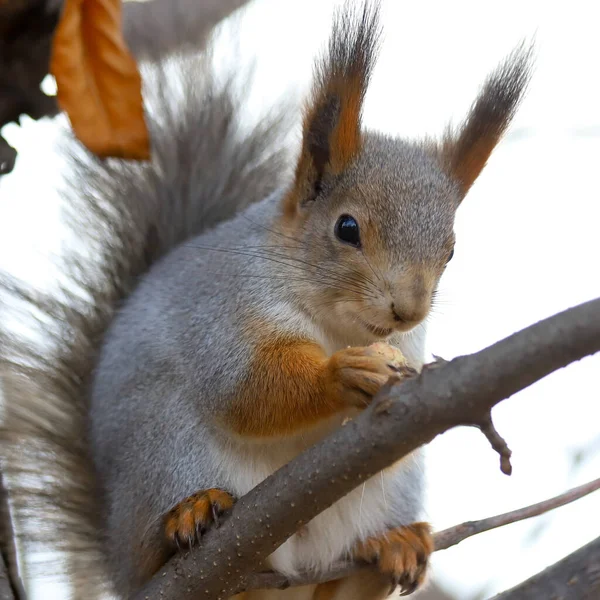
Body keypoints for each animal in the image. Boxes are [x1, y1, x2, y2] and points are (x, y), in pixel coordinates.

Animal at [0, 1, 528, 600]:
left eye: (452, 250)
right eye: (347, 228)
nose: (408, 310)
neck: (336, 324)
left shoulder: (409, 346)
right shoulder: (223, 308)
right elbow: (246, 386)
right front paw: (343, 375)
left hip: (377, 503)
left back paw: (392, 545)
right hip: (165, 451)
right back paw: (189, 513)